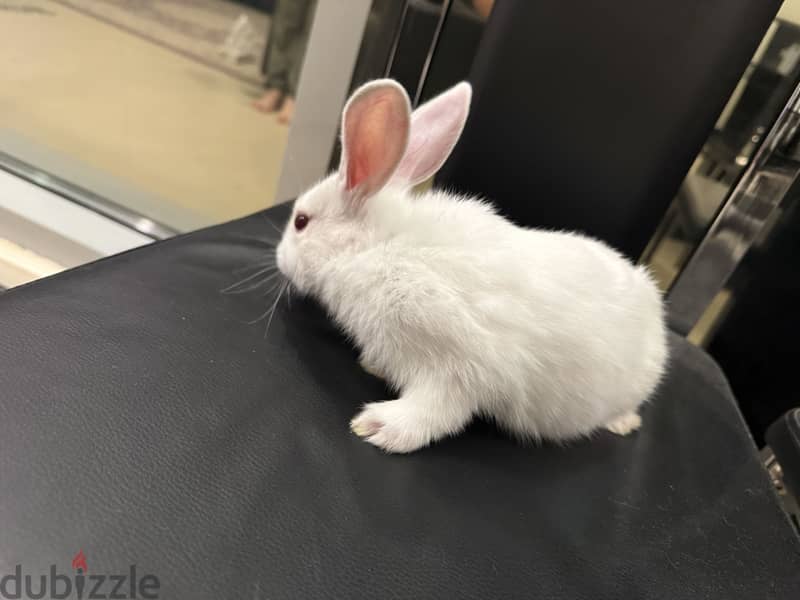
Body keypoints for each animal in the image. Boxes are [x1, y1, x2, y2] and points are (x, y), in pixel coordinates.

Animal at [275, 79, 669, 454]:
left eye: (301, 221)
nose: (279, 257)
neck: (378, 247)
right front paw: (373, 367)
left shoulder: (459, 364)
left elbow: (438, 410)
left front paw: (378, 427)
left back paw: (623, 423)